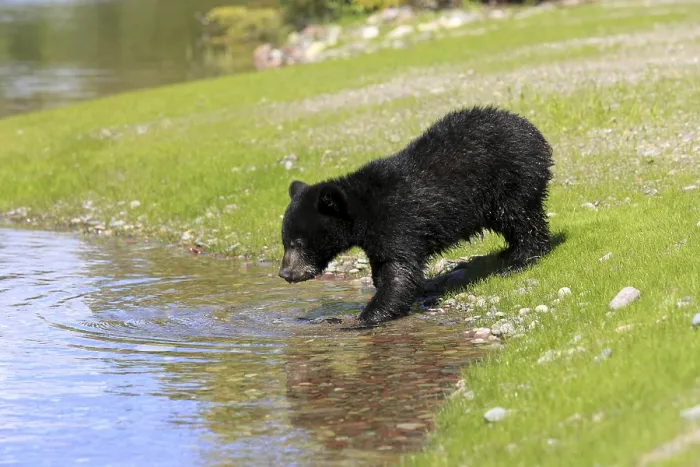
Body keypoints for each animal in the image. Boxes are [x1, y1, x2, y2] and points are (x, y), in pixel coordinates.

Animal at [278, 105, 554, 326]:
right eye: (285, 241)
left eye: (297, 242)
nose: (285, 273)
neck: (362, 210)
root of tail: (531, 129)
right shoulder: (376, 239)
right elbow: (383, 268)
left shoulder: (397, 222)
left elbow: (400, 271)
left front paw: (361, 318)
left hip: (511, 176)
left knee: (521, 217)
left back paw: (522, 259)